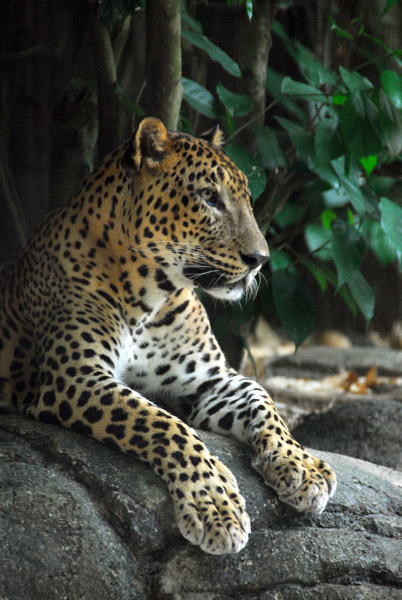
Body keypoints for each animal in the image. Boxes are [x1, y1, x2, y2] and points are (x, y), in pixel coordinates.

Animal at [0, 117, 336, 552]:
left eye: (246, 198)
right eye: (209, 197)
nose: (260, 259)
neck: (151, 298)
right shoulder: (75, 376)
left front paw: (301, 464)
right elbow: (160, 423)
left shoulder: (210, 380)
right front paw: (214, 504)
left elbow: (264, 400)